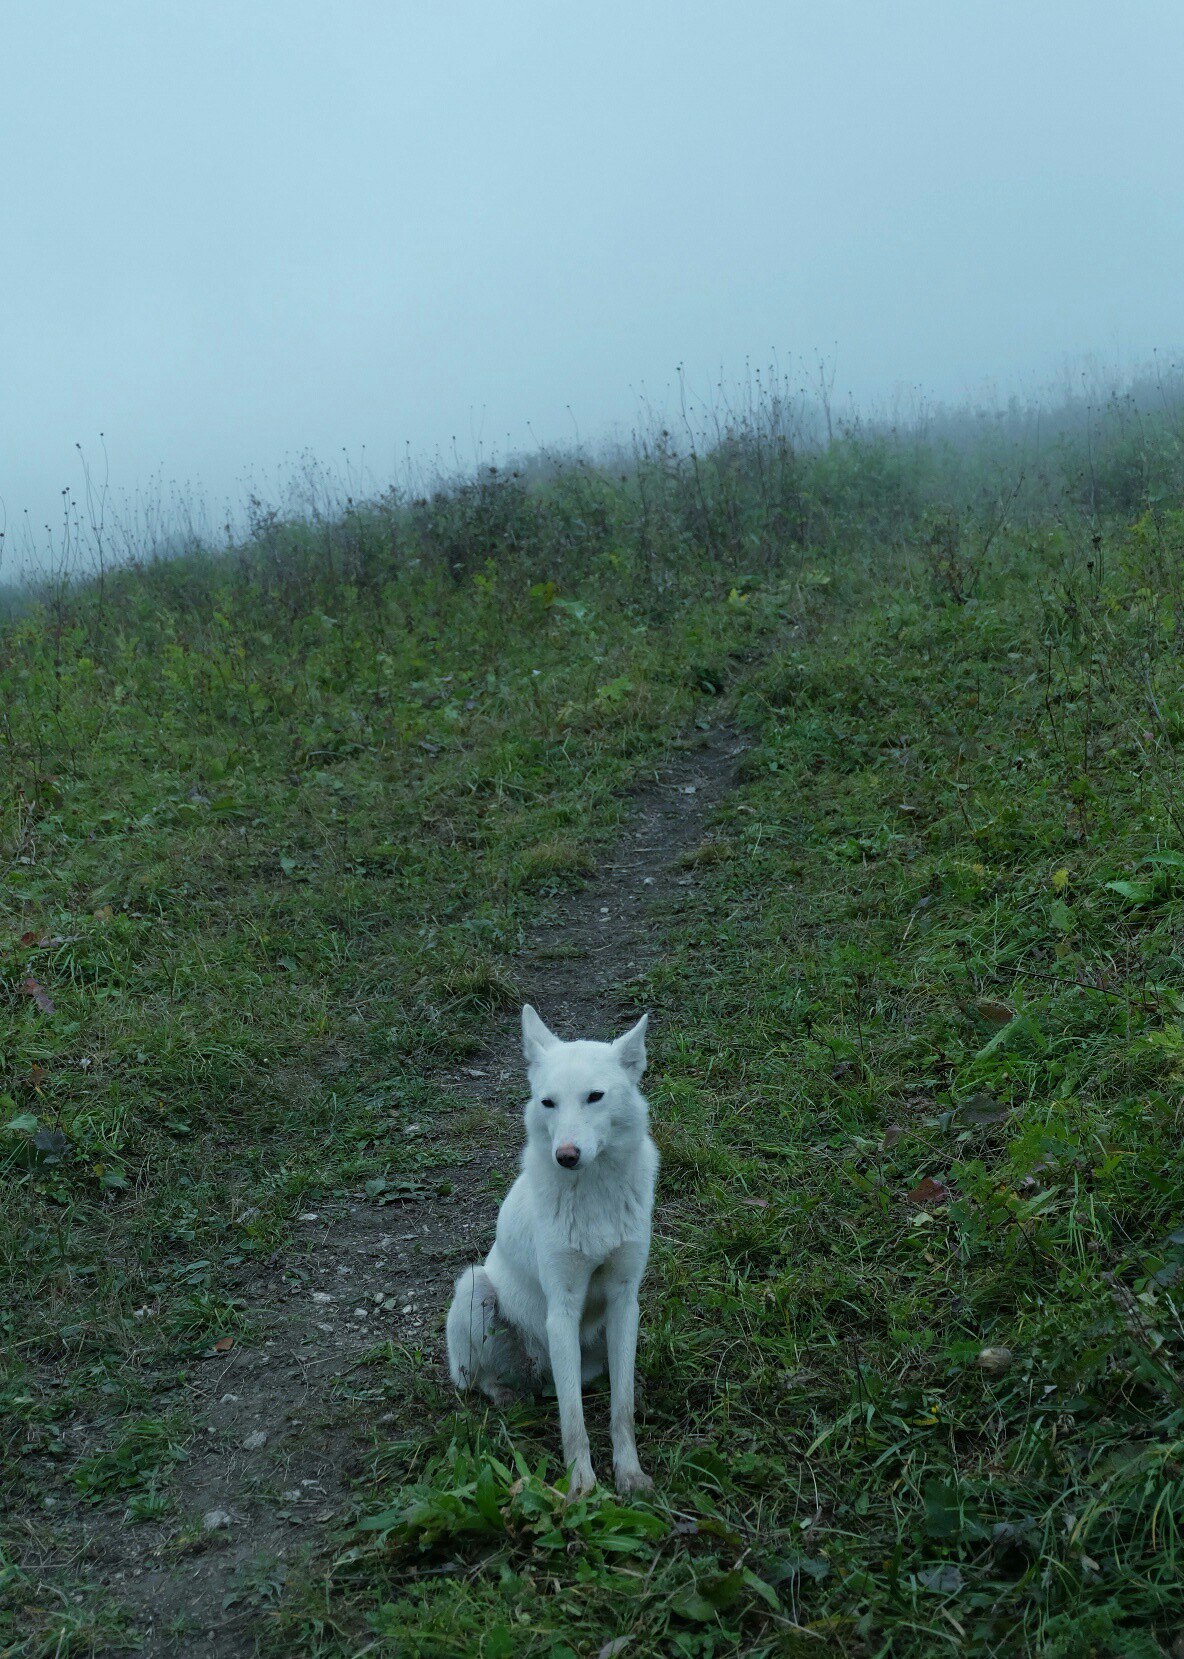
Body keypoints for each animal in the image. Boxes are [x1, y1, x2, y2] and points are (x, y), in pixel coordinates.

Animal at [447, 1002, 659, 1499]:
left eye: (595, 1097)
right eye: (548, 1103)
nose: (566, 1155)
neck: (595, 1195)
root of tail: (537, 1373)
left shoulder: (625, 1299)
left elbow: (620, 1411)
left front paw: (630, 1475)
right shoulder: (561, 1307)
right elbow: (573, 1422)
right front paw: (581, 1488)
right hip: (474, 1290)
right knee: (480, 1381)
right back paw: (506, 1393)